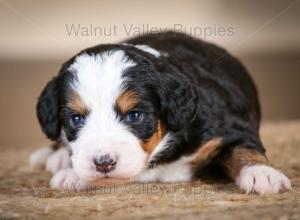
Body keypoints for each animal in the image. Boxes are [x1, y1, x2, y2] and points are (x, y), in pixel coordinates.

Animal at [29, 31, 290, 194]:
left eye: (135, 116)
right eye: (76, 119)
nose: (103, 163)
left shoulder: (230, 127)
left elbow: (244, 149)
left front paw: (262, 174)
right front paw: (75, 174)